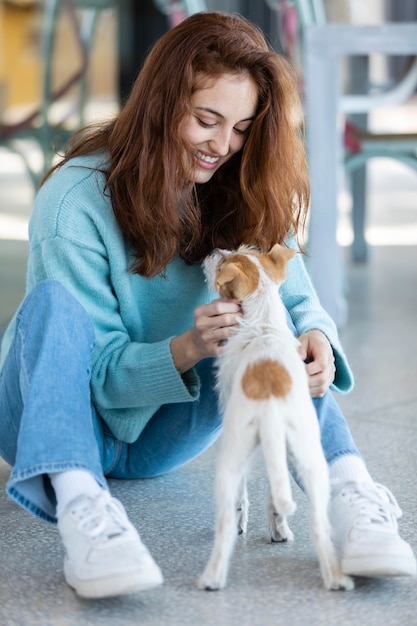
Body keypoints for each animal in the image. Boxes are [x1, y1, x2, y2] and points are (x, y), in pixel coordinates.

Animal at [197, 243, 352, 588]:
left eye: (223, 262)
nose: (213, 249)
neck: (263, 322)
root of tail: (270, 408)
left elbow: (243, 498)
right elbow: (272, 489)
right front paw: (277, 526)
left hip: (229, 463)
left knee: (225, 525)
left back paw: (211, 577)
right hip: (310, 461)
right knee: (319, 526)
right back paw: (334, 577)